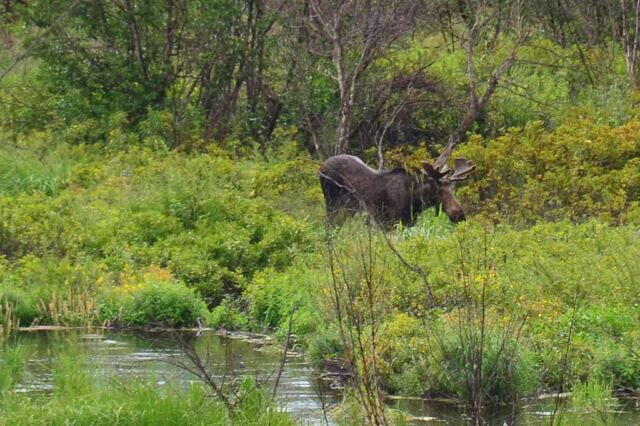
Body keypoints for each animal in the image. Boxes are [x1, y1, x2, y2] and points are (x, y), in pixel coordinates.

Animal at [318, 152, 475, 226]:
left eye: (452, 189)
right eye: (439, 191)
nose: (460, 215)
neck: (415, 202)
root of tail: (320, 169)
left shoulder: (409, 223)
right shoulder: (389, 222)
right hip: (332, 205)